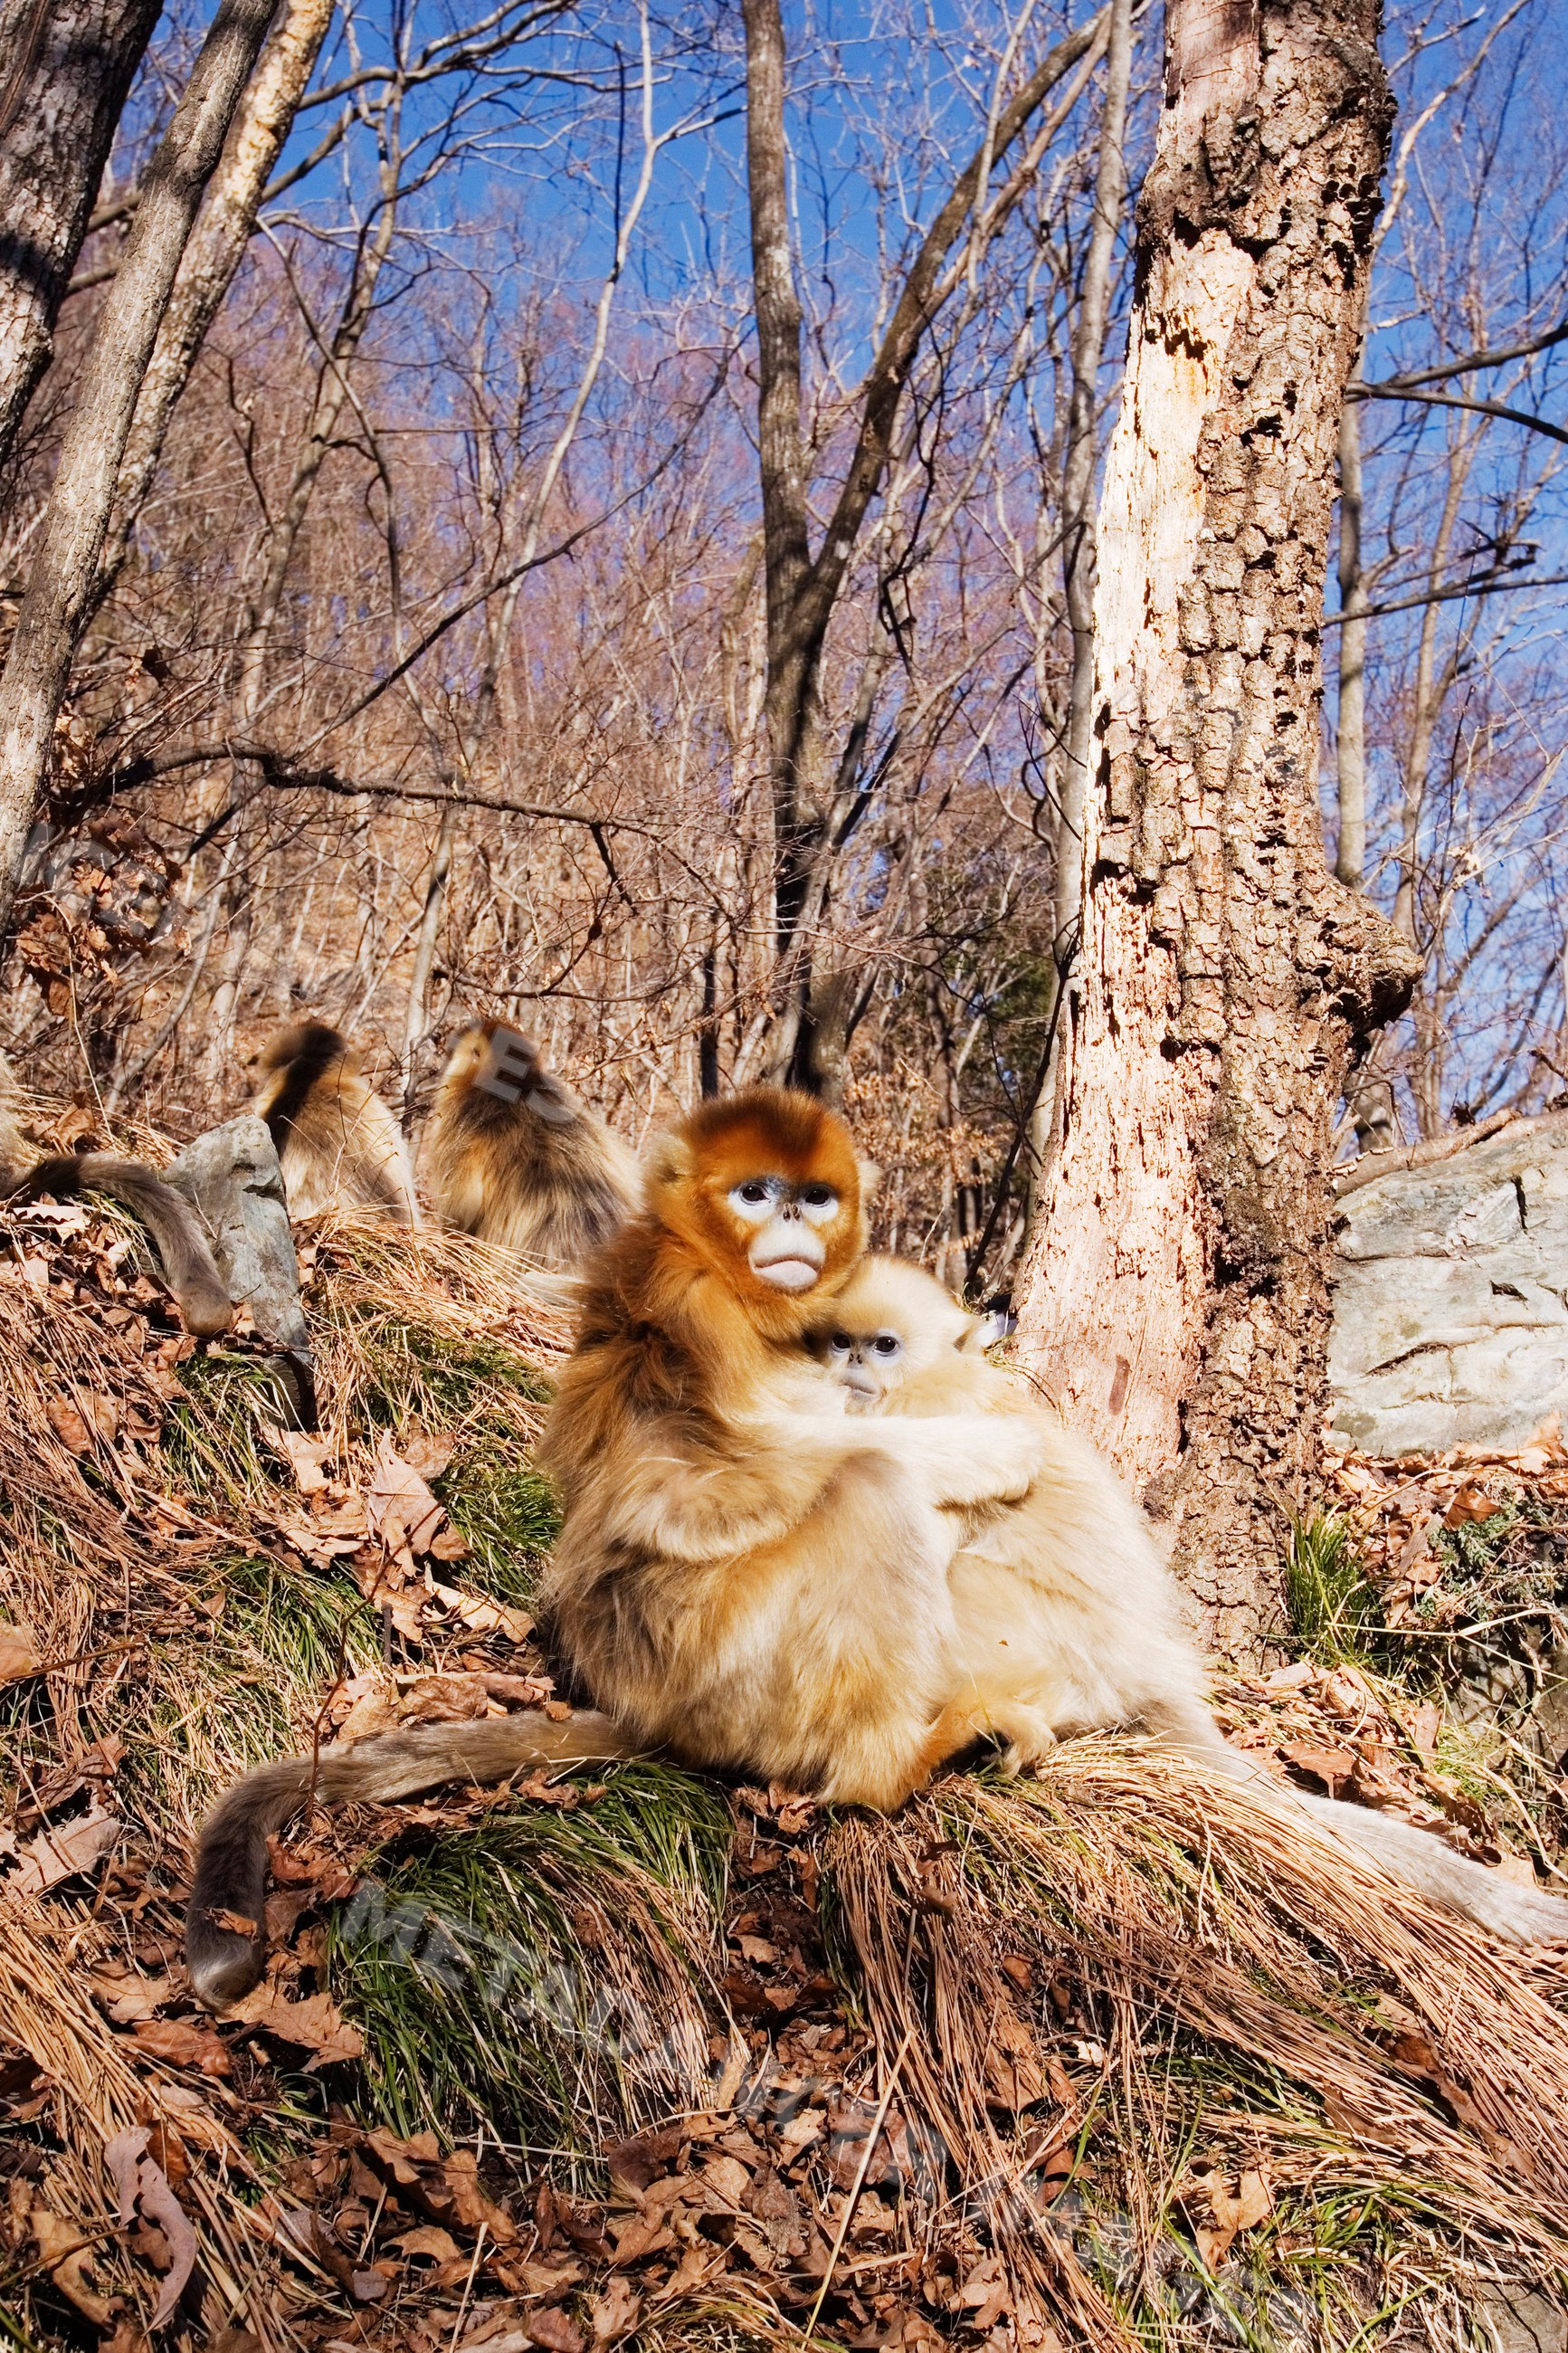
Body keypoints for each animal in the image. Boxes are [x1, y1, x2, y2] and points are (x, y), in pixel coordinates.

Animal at [186, 1088, 1053, 2008]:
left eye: (815, 1196)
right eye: (755, 1193)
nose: (791, 1220)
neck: (724, 1276)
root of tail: (642, 1705)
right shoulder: (700, 1310)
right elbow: (690, 1493)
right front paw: (991, 1450)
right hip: (721, 1660)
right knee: (870, 1487)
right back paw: (893, 1766)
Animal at [805, 1255, 1568, 1945]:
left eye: (882, 1346)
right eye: (841, 1343)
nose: (852, 1366)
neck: (936, 1377)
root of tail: (1141, 1669)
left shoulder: (928, 1411)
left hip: (1033, 1641)